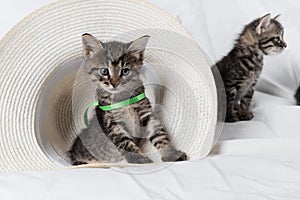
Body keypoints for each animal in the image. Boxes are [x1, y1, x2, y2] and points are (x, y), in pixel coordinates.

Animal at [67, 33, 188, 165]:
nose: (114, 84)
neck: (122, 98)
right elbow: (125, 143)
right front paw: (139, 159)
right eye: (104, 71)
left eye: (125, 71)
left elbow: (160, 135)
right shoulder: (112, 124)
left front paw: (171, 153)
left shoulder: (146, 113)